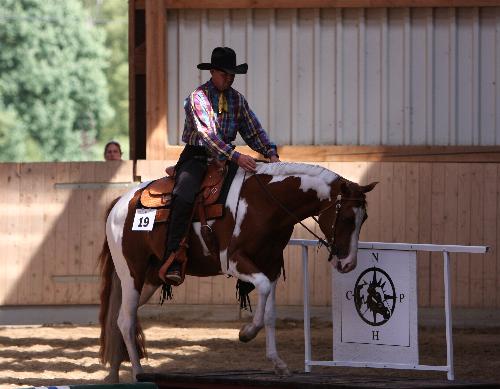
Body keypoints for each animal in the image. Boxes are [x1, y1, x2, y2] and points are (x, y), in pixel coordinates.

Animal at [97, 161, 376, 382]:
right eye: (347, 218)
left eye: (364, 218)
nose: (348, 263)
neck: (264, 203)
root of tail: (121, 202)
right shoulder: (234, 261)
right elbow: (261, 290)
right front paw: (247, 332)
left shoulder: (271, 266)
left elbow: (271, 313)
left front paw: (278, 363)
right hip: (132, 274)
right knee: (126, 321)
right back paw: (137, 372)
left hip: (149, 280)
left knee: (121, 318)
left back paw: (114, 374)